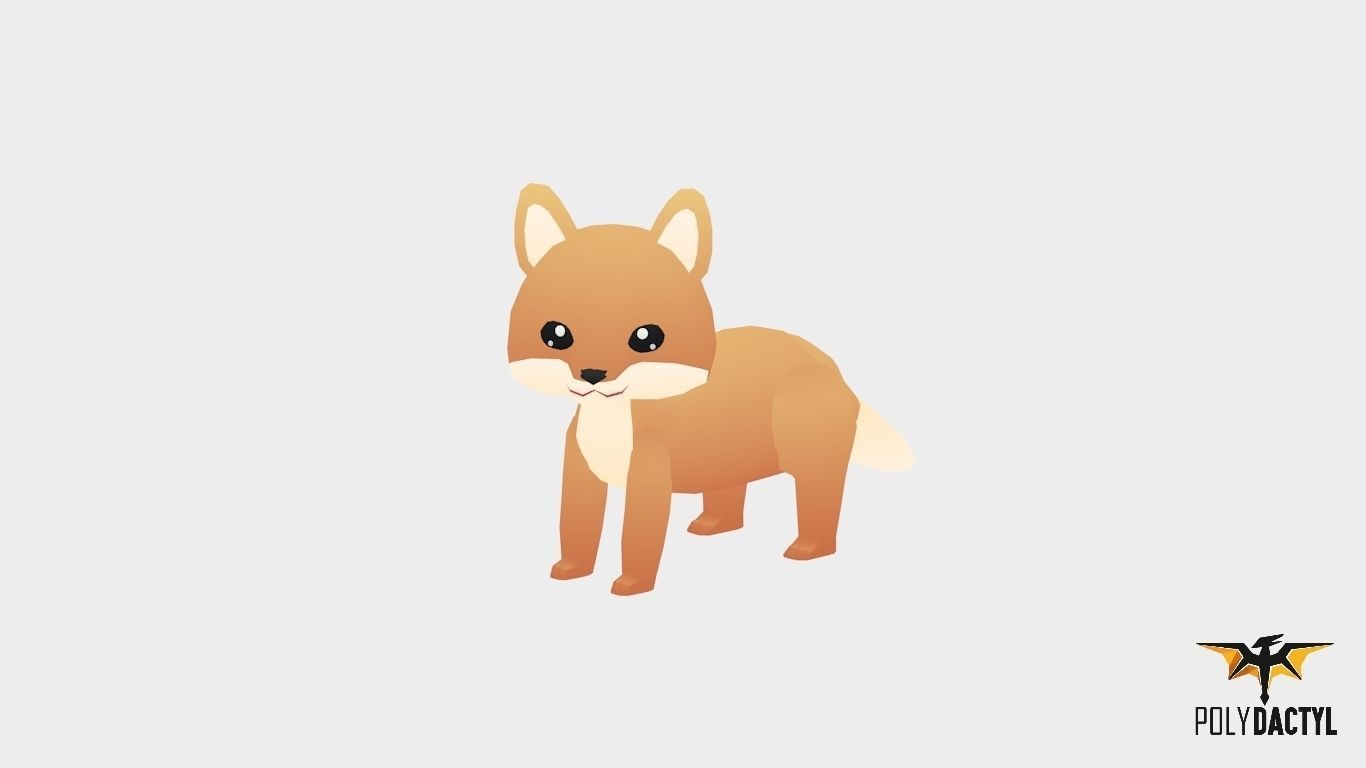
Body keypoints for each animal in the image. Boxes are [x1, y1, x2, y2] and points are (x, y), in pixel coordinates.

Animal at [507, 184, 914, 596]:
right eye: (556, 334)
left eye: (647, 338)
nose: (593, 373)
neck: (610, 424)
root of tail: (827, 362)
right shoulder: (581, 474)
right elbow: (576, 527)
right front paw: (571, 570)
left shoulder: (648, 475)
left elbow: (636, 535)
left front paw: (632, 584)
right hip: (728, 453)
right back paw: (714, 525)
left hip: (806, 445)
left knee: (820, 495)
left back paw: (811, 547)